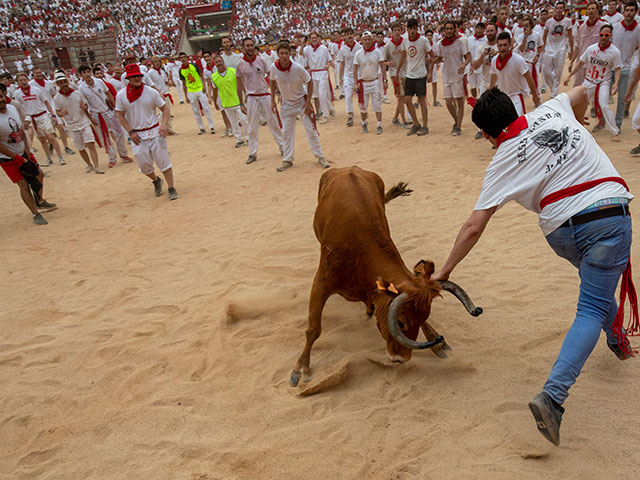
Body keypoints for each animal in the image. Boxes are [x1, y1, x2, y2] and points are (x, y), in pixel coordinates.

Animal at [290, 167, 480, 388]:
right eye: (400, 323)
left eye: (423, 318)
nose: (402, 359)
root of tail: (350, 168)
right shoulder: (321, 283)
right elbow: (313, 329)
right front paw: (301, 368)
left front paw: (438, 342)